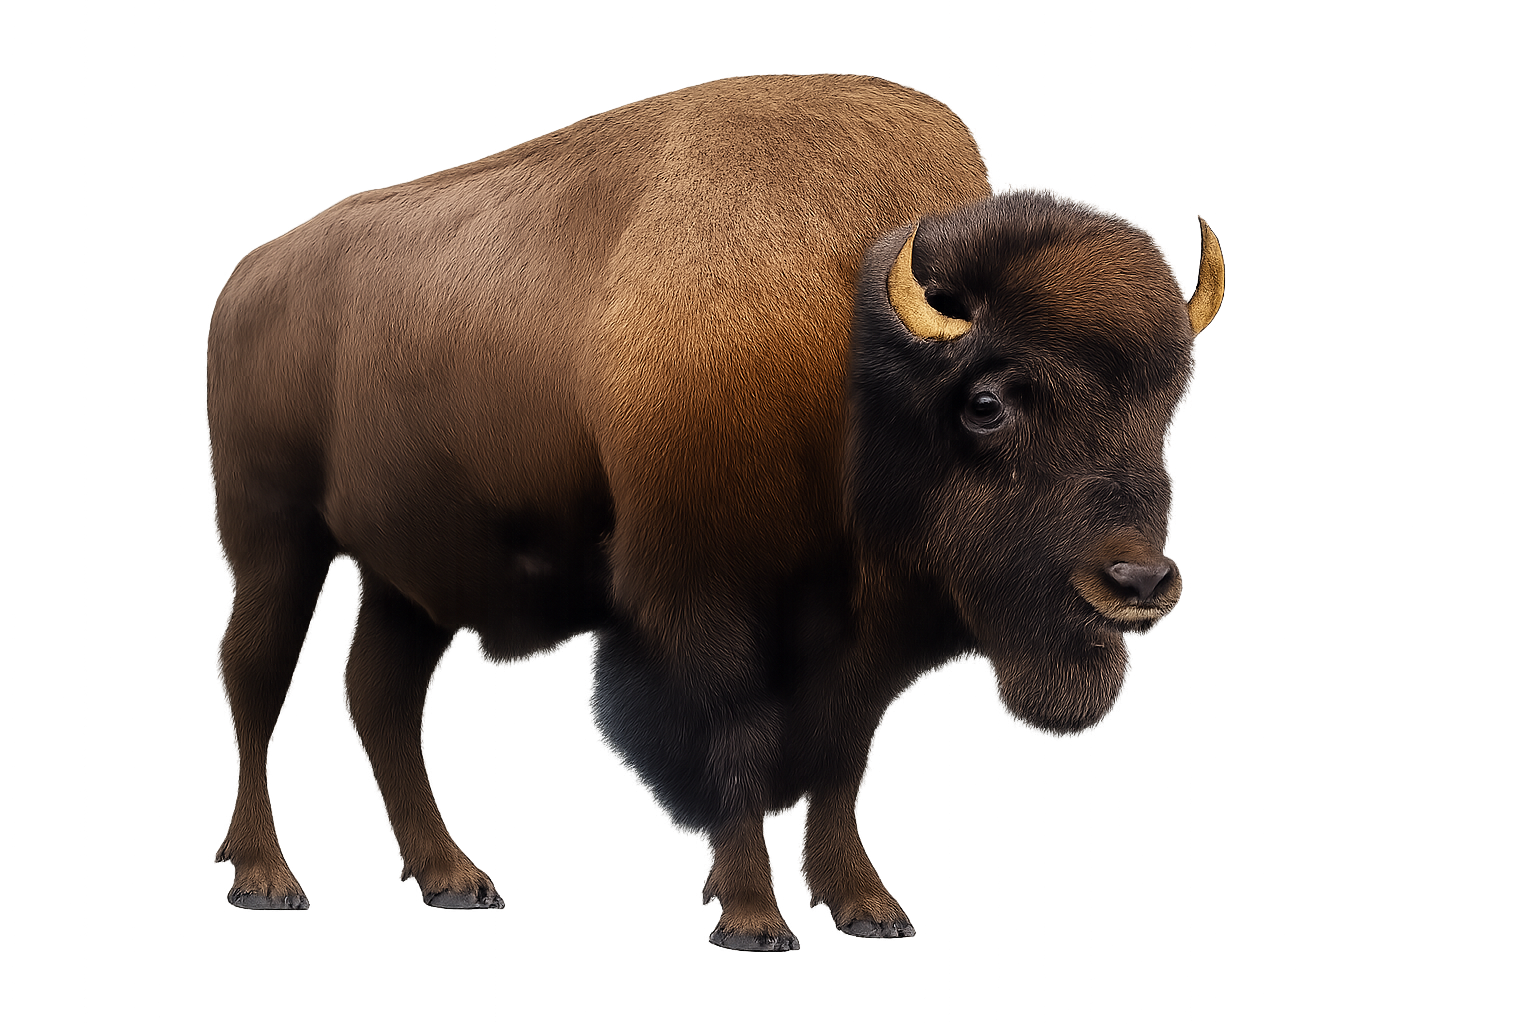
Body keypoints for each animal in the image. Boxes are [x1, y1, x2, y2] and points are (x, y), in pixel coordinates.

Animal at [209, 74, 1223, 951]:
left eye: (1161, 406)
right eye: (987, 402)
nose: (1139, 580)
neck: (845, 348)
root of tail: (248, 274)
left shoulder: (859, 637)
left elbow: (842, 756)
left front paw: (866, 905)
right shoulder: (699, 596)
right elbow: (736, 735)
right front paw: (752, 919)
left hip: (408, 580)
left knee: (381, 695)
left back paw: (453, 878)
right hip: (273, 541)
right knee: (256, 677)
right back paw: (265, 877)